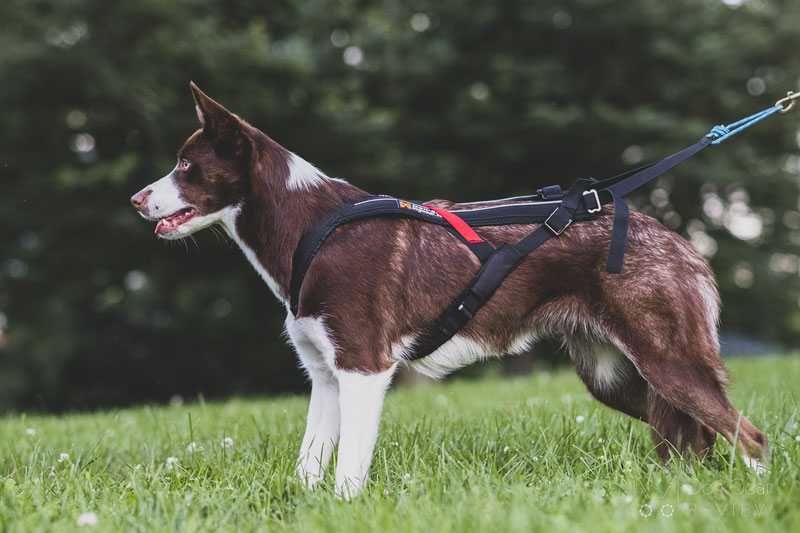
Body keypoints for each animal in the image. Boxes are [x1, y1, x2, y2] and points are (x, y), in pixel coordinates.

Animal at [131, 83, 768, 498]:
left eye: (185, 165)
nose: (136, 199)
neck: (309, 226)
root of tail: (684, 246)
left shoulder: (364, 366)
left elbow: (348, 470)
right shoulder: (325, 376)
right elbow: (310, 463)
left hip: (665, 360)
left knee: (748, 436)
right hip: (614, 375)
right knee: (694, 437)